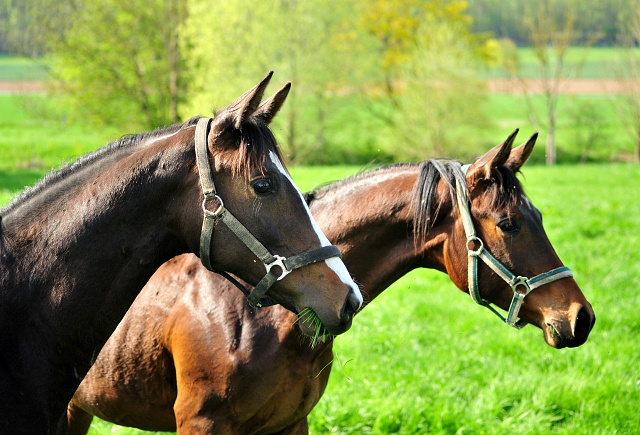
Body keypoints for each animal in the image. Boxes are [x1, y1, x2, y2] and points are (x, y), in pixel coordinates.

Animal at [65, 129, 596, 435]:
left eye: (538, 216)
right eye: (509, 223)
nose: (580, 317)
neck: (261, 313)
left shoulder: (290, 423)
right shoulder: (201, 424)